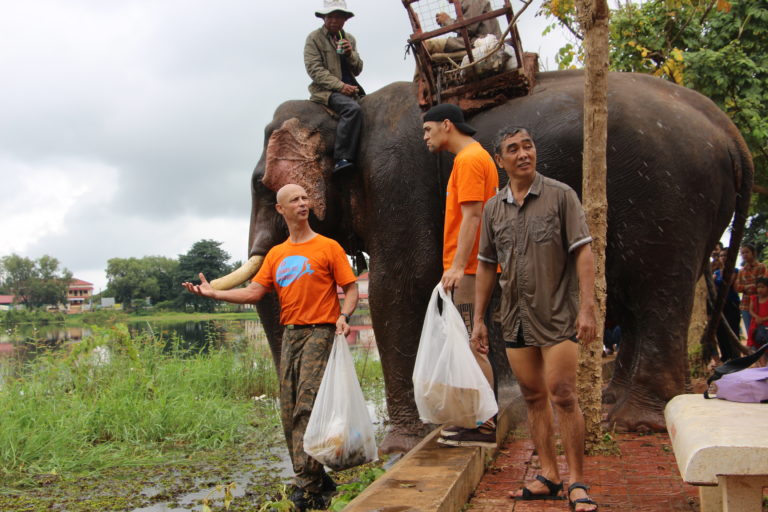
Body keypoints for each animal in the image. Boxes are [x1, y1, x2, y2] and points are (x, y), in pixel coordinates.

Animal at [214, 70, 752, 454]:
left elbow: (399, 287)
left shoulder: (396, 180)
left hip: (669, 198)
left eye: (262, 185)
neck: (349, 114)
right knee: (635, 297)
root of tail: (731, 132)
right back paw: (613, 402)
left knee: (656, 289)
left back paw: (633, 421)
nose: (317, 477)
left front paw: (401, 446)